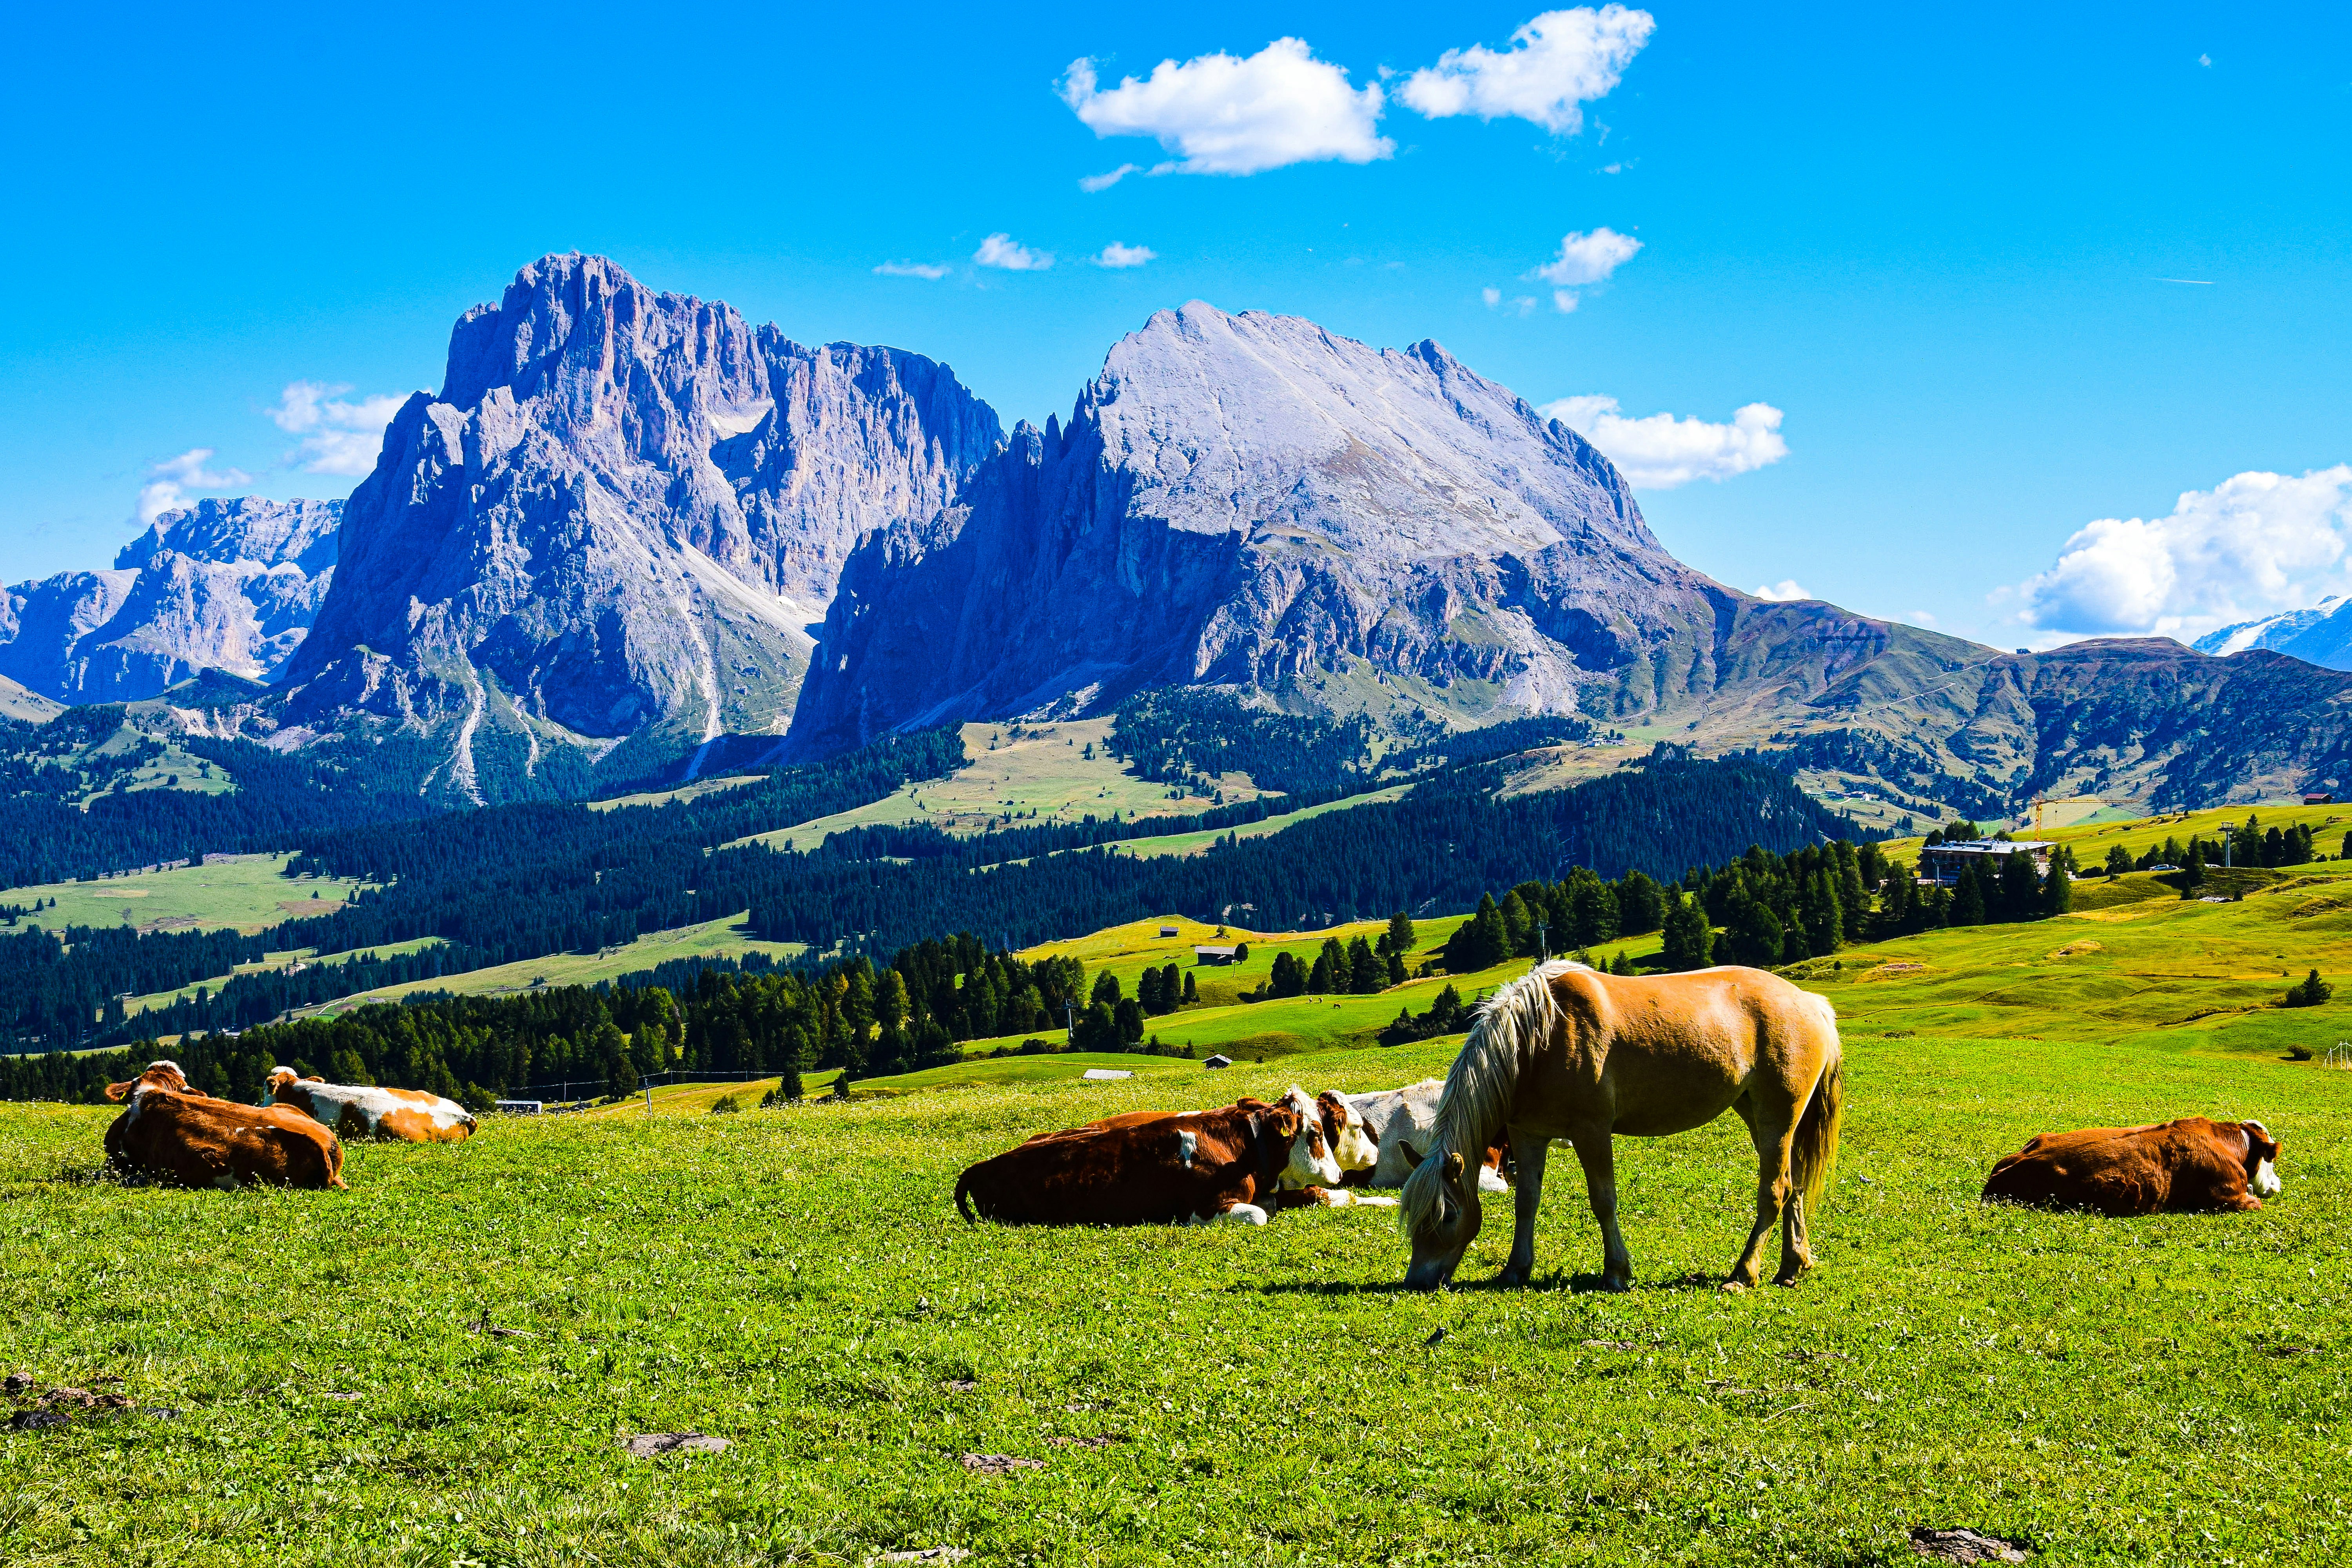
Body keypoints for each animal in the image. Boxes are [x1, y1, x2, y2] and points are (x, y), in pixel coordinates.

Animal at [950, 1091, 1345, 1222]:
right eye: (1315, 1133)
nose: (1340, 1175)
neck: (1241, 1151)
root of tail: (982, 1166)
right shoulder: (1205, 1207)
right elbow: (1260, 1215)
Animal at [1402, 964, 1844, 1298]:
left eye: (1448, 1216)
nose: (1417, 1282)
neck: (1537, 1041)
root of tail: (1811, 1003)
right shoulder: (1528, 1134)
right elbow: (1526, 1202)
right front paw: (1515, 1269)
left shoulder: (1592, 1132)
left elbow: (1604, 1201)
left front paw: (1616, 1271)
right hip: (1760, 1114)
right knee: (1795, 1184)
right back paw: (1792, 1266)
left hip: (1777, 1118)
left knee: (1776, 1190)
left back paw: (1743, 1274)